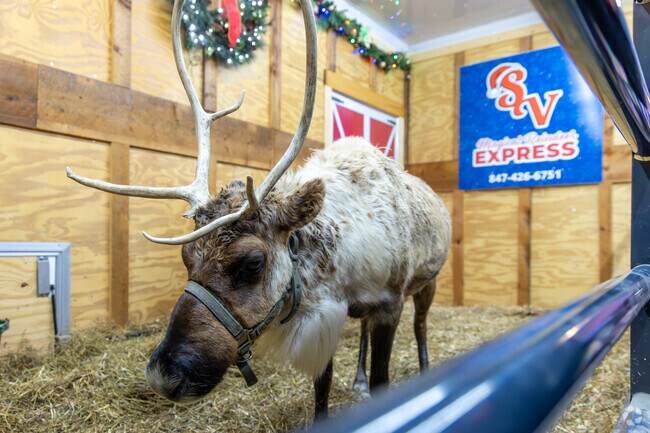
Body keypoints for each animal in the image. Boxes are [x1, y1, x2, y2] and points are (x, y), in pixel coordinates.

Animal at [65, 0, 451, 419]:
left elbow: (385, 375)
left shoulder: (388, 304)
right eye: (186, 256)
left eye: (252, 262)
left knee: (421, 326)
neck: (343, 259)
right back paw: (358, 381)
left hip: (427, 283)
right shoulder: (328, 313)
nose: (163, 376)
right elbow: (322, 386)